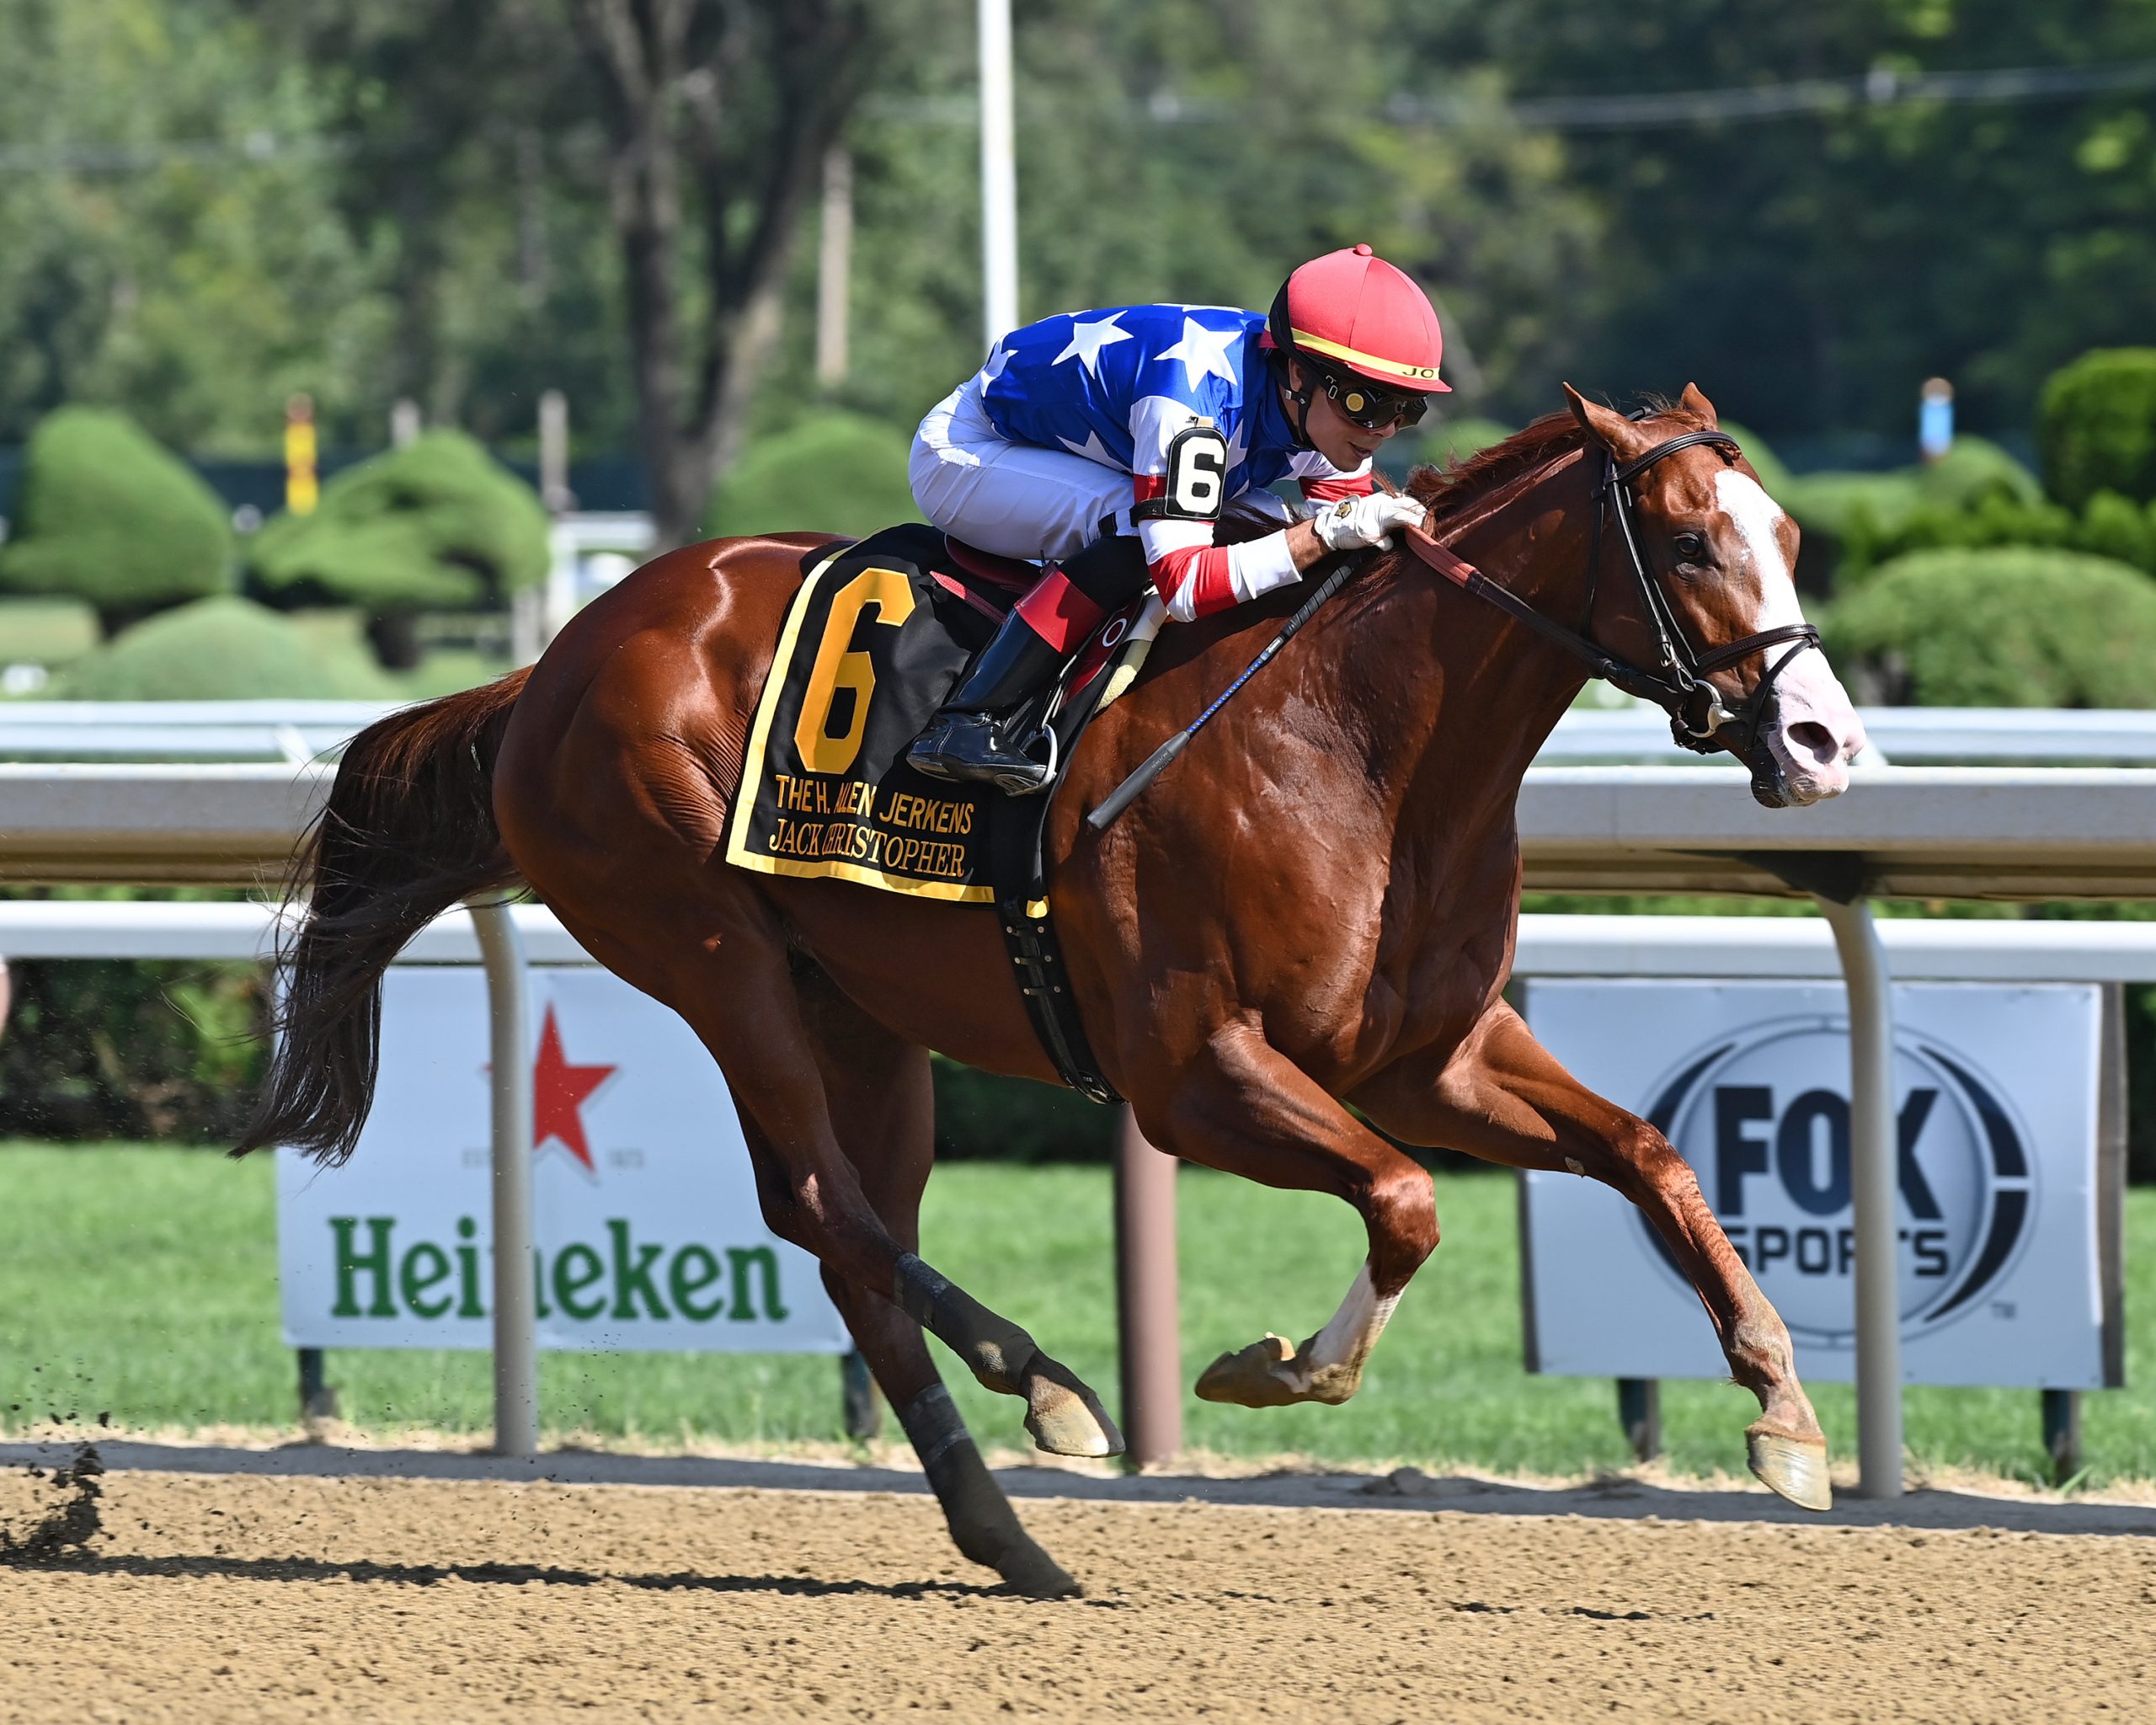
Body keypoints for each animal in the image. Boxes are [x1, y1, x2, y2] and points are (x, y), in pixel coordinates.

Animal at [244, 383, 1871, 1595]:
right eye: (1686, 541)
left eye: (1791, 532)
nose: (1822, 740)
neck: (1361, 744)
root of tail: (553, 662)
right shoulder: (1193, 1073)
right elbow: (1407, 1200)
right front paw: (1280, 1366)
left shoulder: (1436, 1054)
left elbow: (1652, 1154)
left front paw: (1788, 1416)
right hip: (707, 947)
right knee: (827, 1205)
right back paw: (1046, 1386)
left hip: (857, 1004)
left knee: (850, 1233)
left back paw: (1005, 1529)